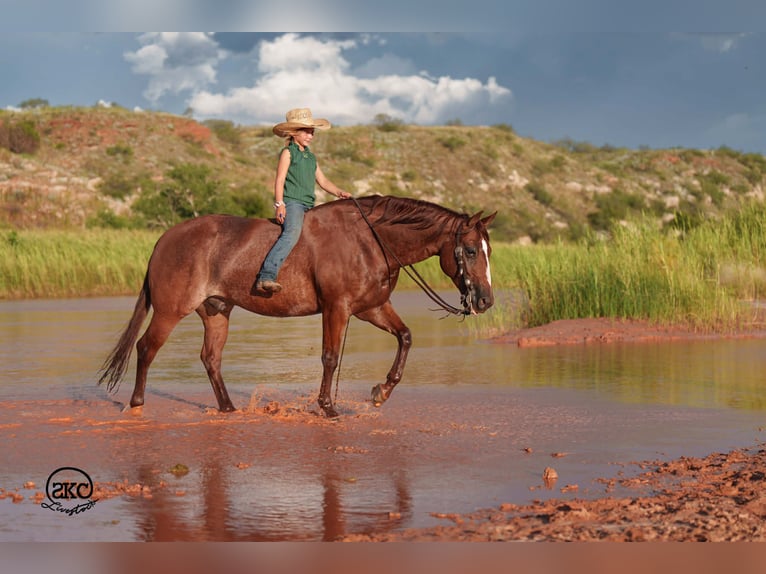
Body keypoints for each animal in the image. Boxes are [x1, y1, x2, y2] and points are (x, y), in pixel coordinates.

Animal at [98, 195, 496, 418]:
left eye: (488, 250)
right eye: (470, 250)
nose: (485, 300)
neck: (369, 240)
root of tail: (164, 239)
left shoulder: (371, 308)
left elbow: (406, 337)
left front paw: (380, 393)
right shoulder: (337, 308)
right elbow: (330, 358)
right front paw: (328, 407)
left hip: (216, 310)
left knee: (210, 358)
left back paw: (227, 408)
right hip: (170, 311)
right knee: (146, 348)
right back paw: (136, 403)